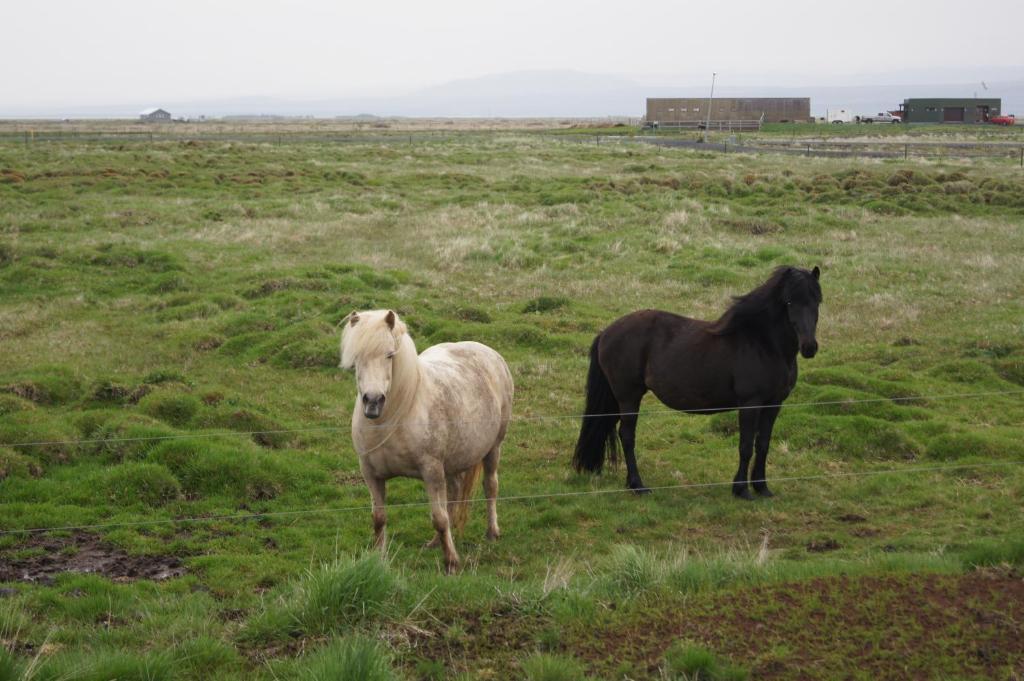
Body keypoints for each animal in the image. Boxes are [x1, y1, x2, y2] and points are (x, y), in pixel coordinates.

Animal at [339, 311, 512, 569]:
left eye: (390, 355)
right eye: (357, 357)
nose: (373, 401)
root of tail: (489, 352)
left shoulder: (431, 471)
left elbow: (439, 518)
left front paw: (451, 562)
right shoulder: (371, 474)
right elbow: (379, 518)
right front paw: (379, 559)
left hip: (493, 448)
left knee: (490, 485)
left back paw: (492, 532)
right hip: (452, 462)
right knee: (454, 492)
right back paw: (434, 542)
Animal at [577, 266, 823, 499]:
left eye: (817, 301)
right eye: (789, 302)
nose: (809, 347)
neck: (763, 344)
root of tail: (606, 332)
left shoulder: (774, 404)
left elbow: (762, 445)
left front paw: (762, 487)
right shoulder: (750, 404)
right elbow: (745, 446)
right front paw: (741, 489)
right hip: (629, 396)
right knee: (627, 436)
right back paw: (638, 485)